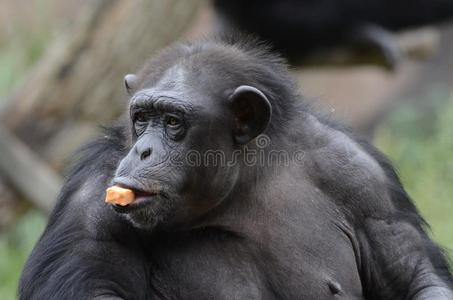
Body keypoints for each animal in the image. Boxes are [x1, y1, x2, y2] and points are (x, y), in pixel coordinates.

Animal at [19, 35, 452, 300]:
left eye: (172, 121)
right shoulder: (90, 198)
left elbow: (415, 277)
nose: (142, 150)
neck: (245, 181)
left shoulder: (364, 182)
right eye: (141, 118)